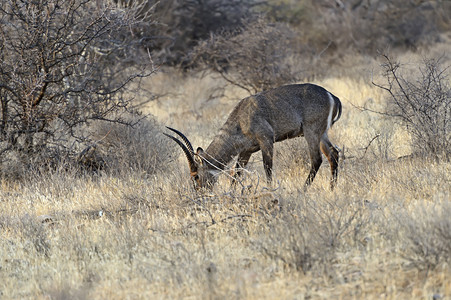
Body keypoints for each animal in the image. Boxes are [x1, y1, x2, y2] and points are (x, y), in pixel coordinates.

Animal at [166, 83, 342, 189]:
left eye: (195, 176)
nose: (199, 193)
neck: (241, 118)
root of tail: (332, 96)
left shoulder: (266, 140)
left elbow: (267, 169)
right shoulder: (246, 151)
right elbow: (236, 174)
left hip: (311, 131)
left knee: (317, 159)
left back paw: (303, 190)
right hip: (322, 134)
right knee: (333, 154)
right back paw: (332, 188)